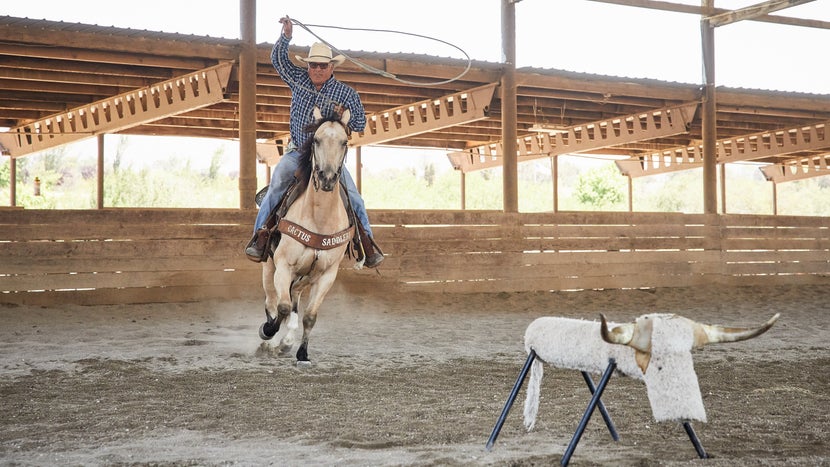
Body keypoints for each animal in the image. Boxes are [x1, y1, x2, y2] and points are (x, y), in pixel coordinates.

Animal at [256, 108, 354, 368]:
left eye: (344, 142)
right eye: (316, 140)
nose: (327, 177)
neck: (319, 218)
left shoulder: (327, 274)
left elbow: (309, 316)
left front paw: (302, 353)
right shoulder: (283, 265)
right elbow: (281, 308)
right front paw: (268, 332)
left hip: (306, 275)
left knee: (294, 298)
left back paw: (286, 342)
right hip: (269, 268)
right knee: (273, 303)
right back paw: (270, 343)